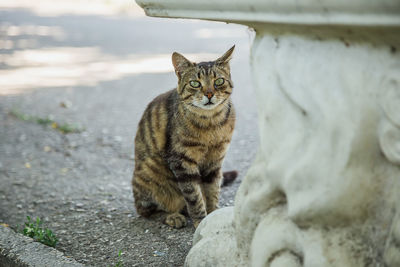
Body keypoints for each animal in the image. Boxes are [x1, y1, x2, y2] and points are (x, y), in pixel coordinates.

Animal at [131, 46, 238, 230]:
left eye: (218, 81)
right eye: (195, 83)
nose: (209, 94)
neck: (211, 123)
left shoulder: (215, 162)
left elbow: (212, 191)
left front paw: (213, 215)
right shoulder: (182, 162)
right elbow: (194, 196)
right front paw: (201, 221)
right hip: (149, 171)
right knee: (148, 211)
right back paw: (173, 216)